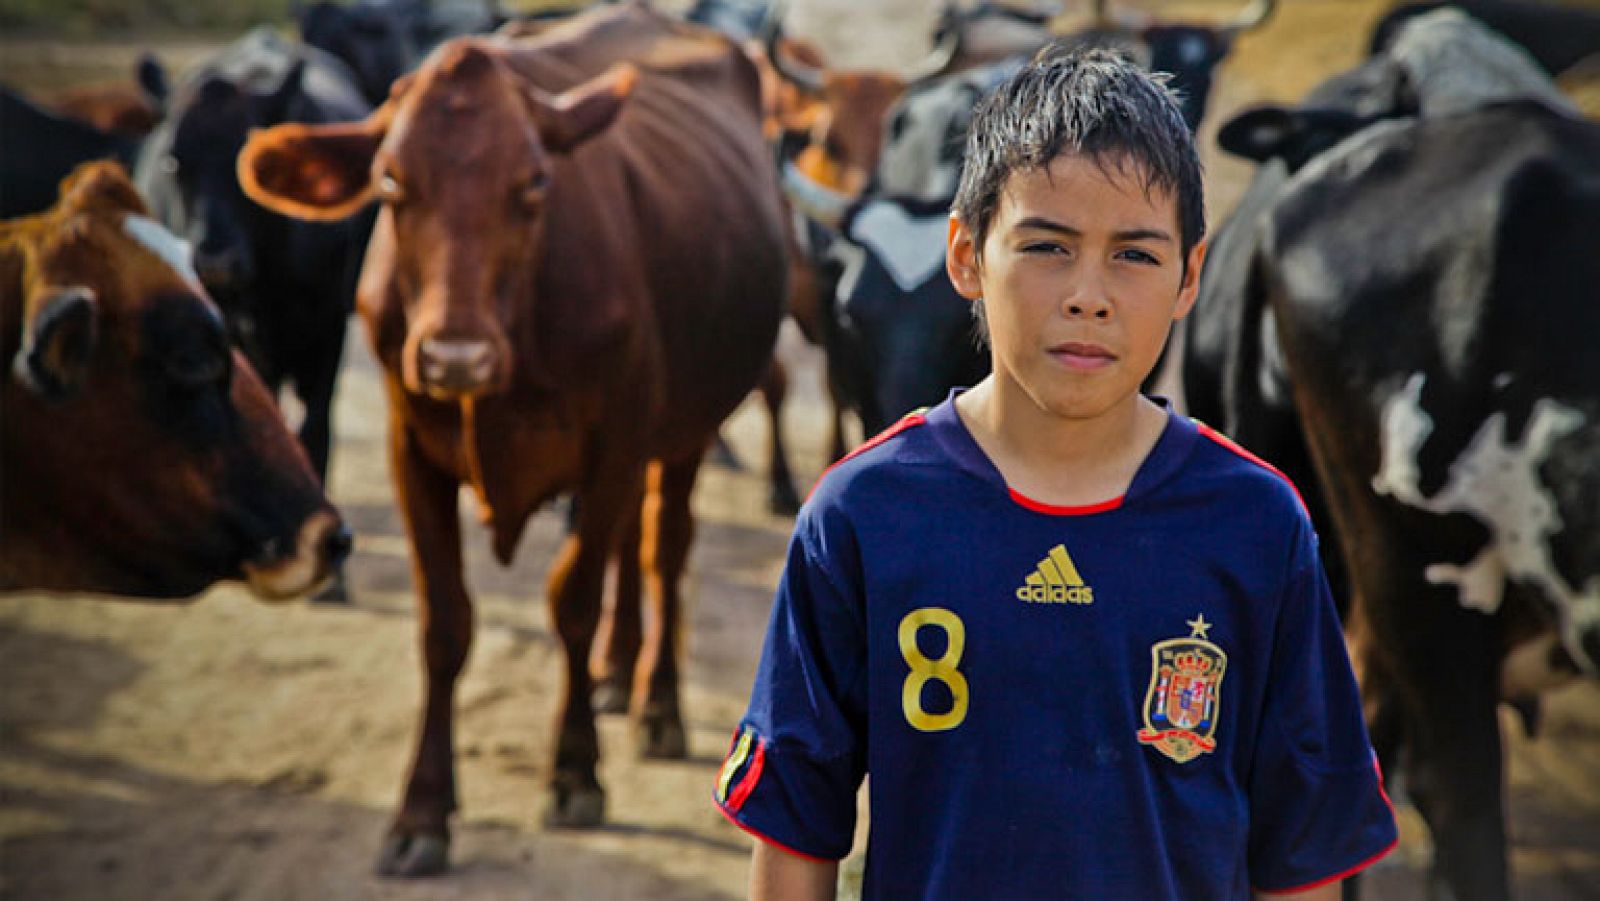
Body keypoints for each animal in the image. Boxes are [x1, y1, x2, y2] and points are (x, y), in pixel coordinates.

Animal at [236, 0, 787, 876]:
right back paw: (615, 669)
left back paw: (656, 703)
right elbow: (444, 622)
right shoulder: (409, 449)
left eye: (533, 183)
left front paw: (575, 772)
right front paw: (422, 810)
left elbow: (572, 599)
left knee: (662, 547)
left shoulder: (614, 446)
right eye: (391, 181)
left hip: (685, 427)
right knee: (630, 546)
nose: (455, 355)